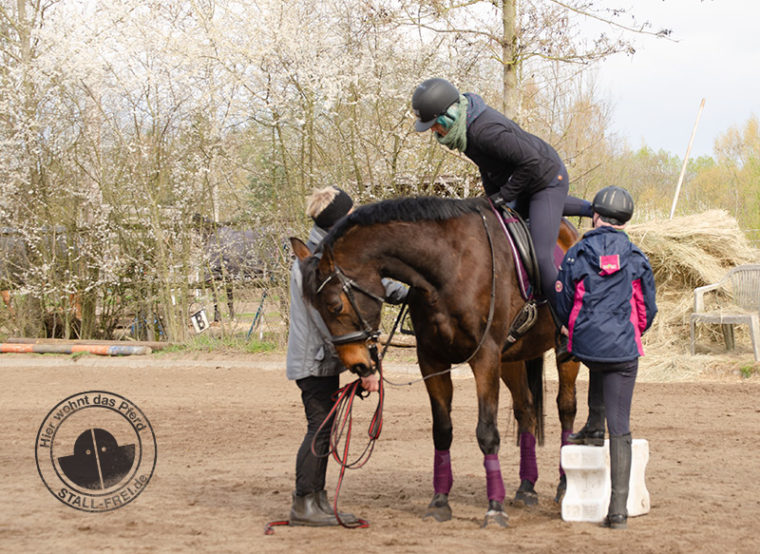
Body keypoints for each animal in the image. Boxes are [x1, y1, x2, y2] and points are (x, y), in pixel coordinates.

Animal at [290, 195, 580, 528]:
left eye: (334, 305)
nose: (358, 365)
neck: (447, 267)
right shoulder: (432, 361)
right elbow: (442, 431)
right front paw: (440, 502)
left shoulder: (485, 358)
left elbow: (487, 432)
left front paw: (494, 508)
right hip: (512, 359)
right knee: (526, 411)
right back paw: (526, 488)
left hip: (561, 357)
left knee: (566, 409)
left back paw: (565, 486)